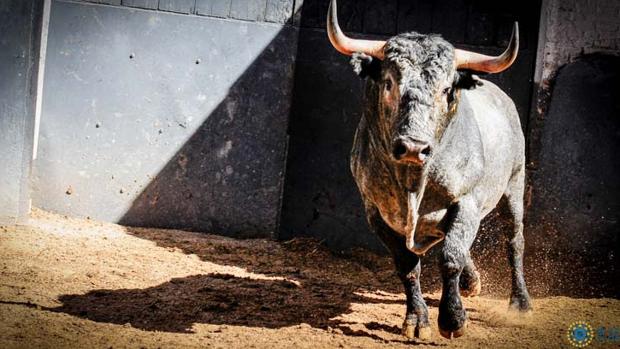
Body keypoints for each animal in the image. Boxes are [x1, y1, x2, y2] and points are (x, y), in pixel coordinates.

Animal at [324, 0, 532, 338]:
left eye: (446, 89)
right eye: (389, 83)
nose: (413, 147)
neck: (413, 182)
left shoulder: (467, 203)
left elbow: (451, 257)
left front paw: (453, 319)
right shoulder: (376, 212)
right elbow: (407, 265)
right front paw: (417, 319)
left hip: (513, 187)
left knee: (514, 241)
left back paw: (520, 303)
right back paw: (472, 283)